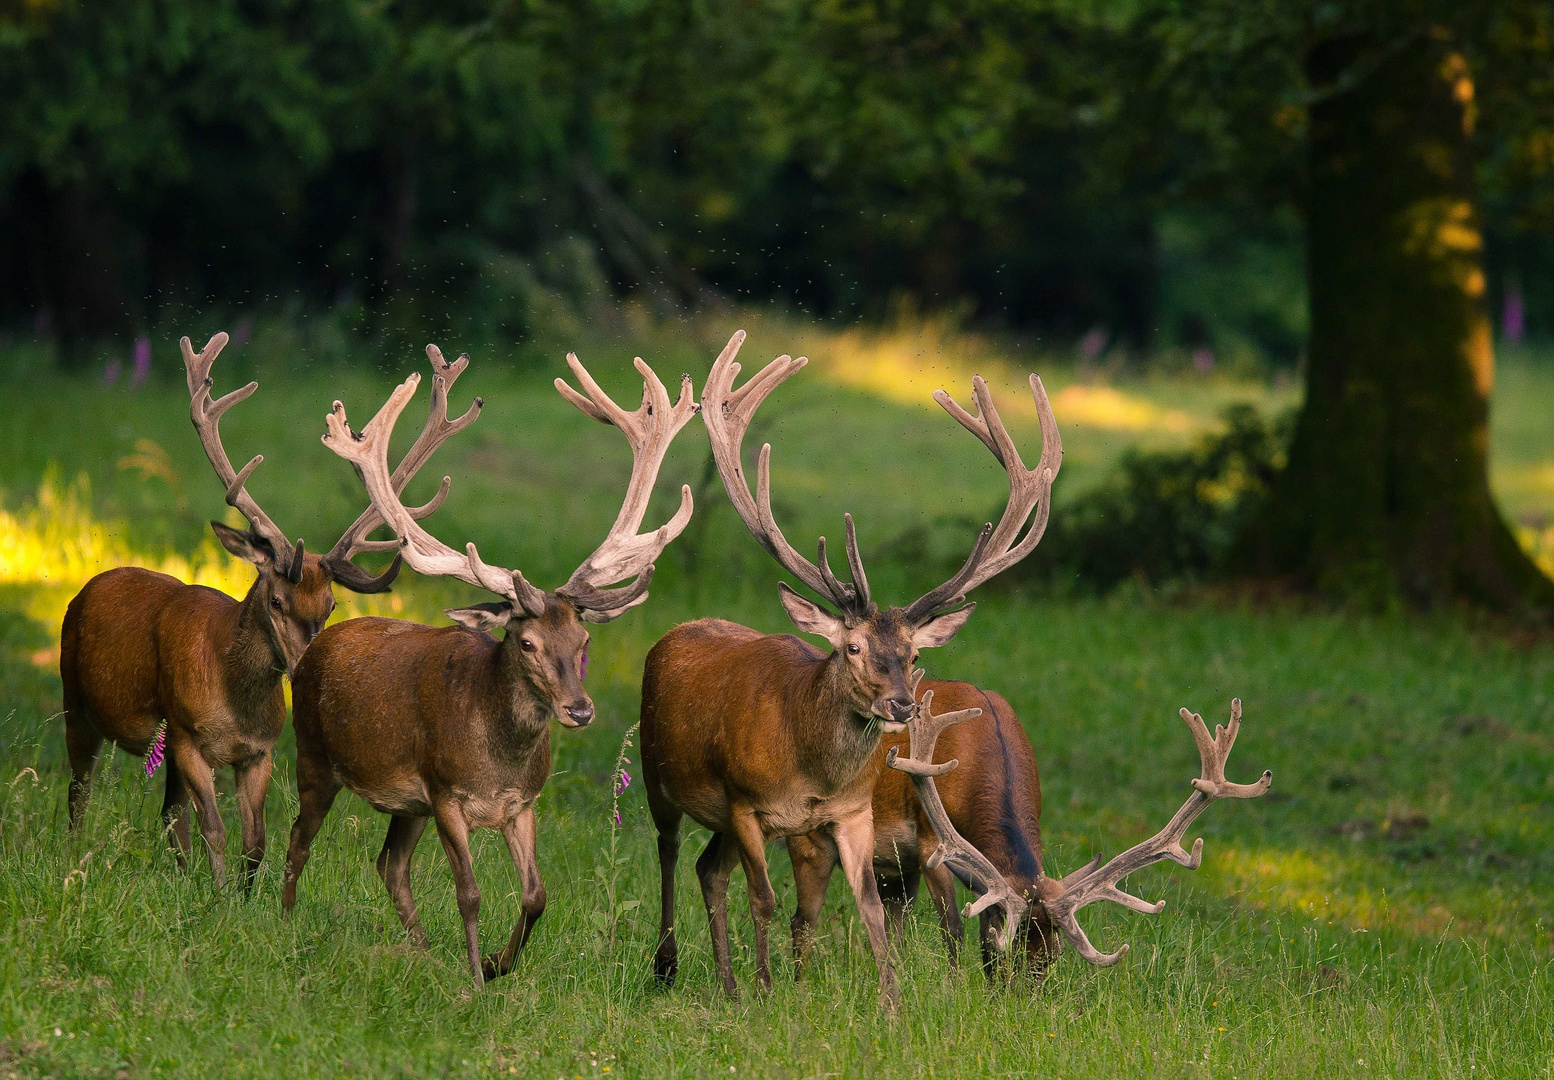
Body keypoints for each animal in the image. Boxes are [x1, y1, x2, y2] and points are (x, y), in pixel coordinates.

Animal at [57, 335, 456, 888]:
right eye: (275, 600)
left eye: (331, 605)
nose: (307, 665)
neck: (235, 705)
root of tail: (88, 588)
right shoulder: (186, 733)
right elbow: (216, 829)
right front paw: (219, 897)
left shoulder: (260, 751)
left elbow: (256, 841)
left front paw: (239, 895)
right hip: (76, 698)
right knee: (80, 792)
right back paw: (75, 857)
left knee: (169, 814)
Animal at [287, 348, 699, 988]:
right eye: (525, 642)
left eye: (583, 638)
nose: (580, 710)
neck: (494, 762)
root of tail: (313, 648)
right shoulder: (446, 793)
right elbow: (471, 892)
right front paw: (478, 979)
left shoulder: (521, 804)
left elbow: (536, 895)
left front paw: (496, 964)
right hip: (315, 756)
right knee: (298, 841)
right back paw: (274, 917)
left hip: (407, 804)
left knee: (390, 865)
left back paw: (425, 952)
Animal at [637, 330, 1062, 1013]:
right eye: (853, 649)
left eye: (914, 655)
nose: (902, 706)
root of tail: (676, 633)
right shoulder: (758, 806)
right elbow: (772, 900)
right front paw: (769, 992)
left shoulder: (851, 819)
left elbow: (871, 911)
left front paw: (891, 1003)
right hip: (664, 783)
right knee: (673, 854)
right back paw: (670, 966)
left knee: (710, 870)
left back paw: (726, 984)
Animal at [882, 693, 1268, 982]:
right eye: (999, 953)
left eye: (1052, 958)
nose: (1019, 1008)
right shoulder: (932, 844)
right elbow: (952, 929)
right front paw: (953, 987)